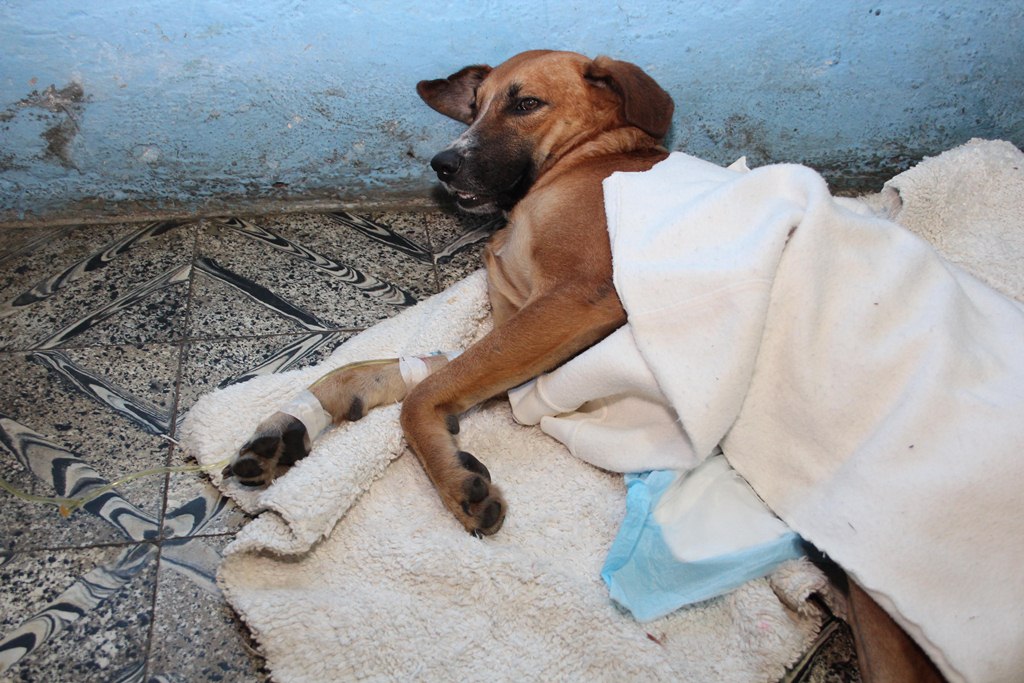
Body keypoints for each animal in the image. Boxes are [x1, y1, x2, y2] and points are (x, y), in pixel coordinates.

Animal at [224, 50, 671, 536]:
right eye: (474, 107)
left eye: (527, 104)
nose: (442, 164)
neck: (589, 154)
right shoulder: (531, 343)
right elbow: (391, 372)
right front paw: (285, 427)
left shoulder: (574, 301)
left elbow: (419, 396)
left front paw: (451, 476)